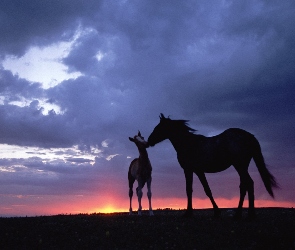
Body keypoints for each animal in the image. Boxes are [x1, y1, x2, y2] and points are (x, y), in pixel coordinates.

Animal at [149, 114, 278, 219]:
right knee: (244, 185)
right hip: (242, 166)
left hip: (239, 166)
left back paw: (247, 214)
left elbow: (190, 190)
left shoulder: (189, 170)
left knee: (249, 183)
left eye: (158, 127)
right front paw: (215, 211)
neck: (188, 144)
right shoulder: (198, 171)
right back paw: (241, 213)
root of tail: (249, 136)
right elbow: (207, 190)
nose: (149, 140)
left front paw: (189, 213)